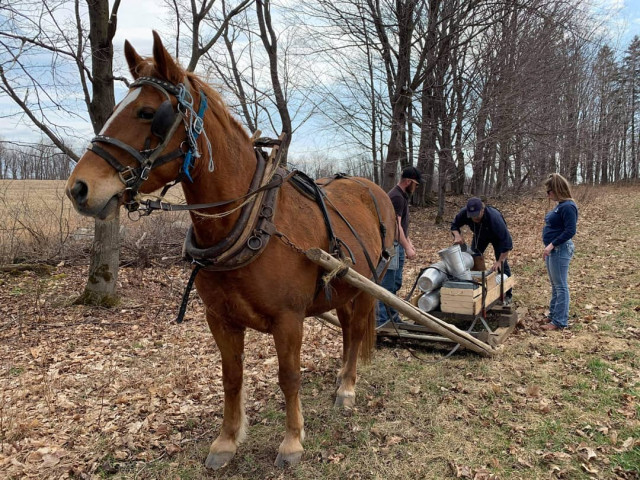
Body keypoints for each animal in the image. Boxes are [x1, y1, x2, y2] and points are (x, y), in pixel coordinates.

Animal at [65, 32, 396, 468]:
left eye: (148, 113)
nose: (78, 188)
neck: (250, 221)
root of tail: (373, 189)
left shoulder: (289, 319)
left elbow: (289, 377)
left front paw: (292, 441)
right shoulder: (220, 319)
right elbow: (231, 377)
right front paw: (226, 440)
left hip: (366, 288)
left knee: (355, 333)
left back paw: (347, 389)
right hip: (341, 289)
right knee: (345, 331)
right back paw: (341, 379)